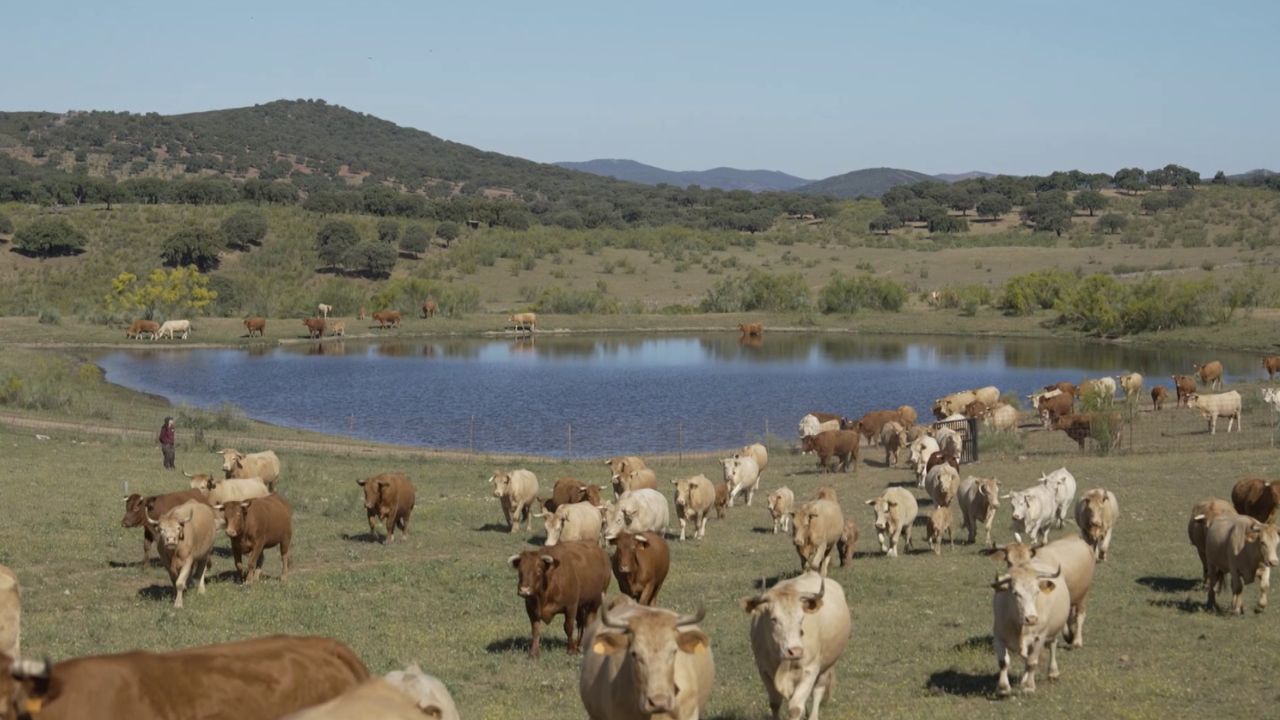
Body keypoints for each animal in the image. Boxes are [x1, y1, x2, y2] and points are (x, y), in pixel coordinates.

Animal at [742, 571, 850, 720]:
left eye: (801, 618)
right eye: (774, 619)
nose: (796, 651)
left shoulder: (810, 670)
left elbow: (795, 708)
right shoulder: (764, 671)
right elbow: (775, 704)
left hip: (827, 665)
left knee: (818, 691)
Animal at [990, 562, 1070, 696]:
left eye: (1037, 592)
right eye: (1015, 593)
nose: (1031, 619)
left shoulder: (1039, 637)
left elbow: (1032, 662)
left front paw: (1029, 687)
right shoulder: (998, 636)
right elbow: (1003, 662)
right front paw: (1003, 688)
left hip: (1053, 631)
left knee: (1052, 645)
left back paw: (1053, 672)